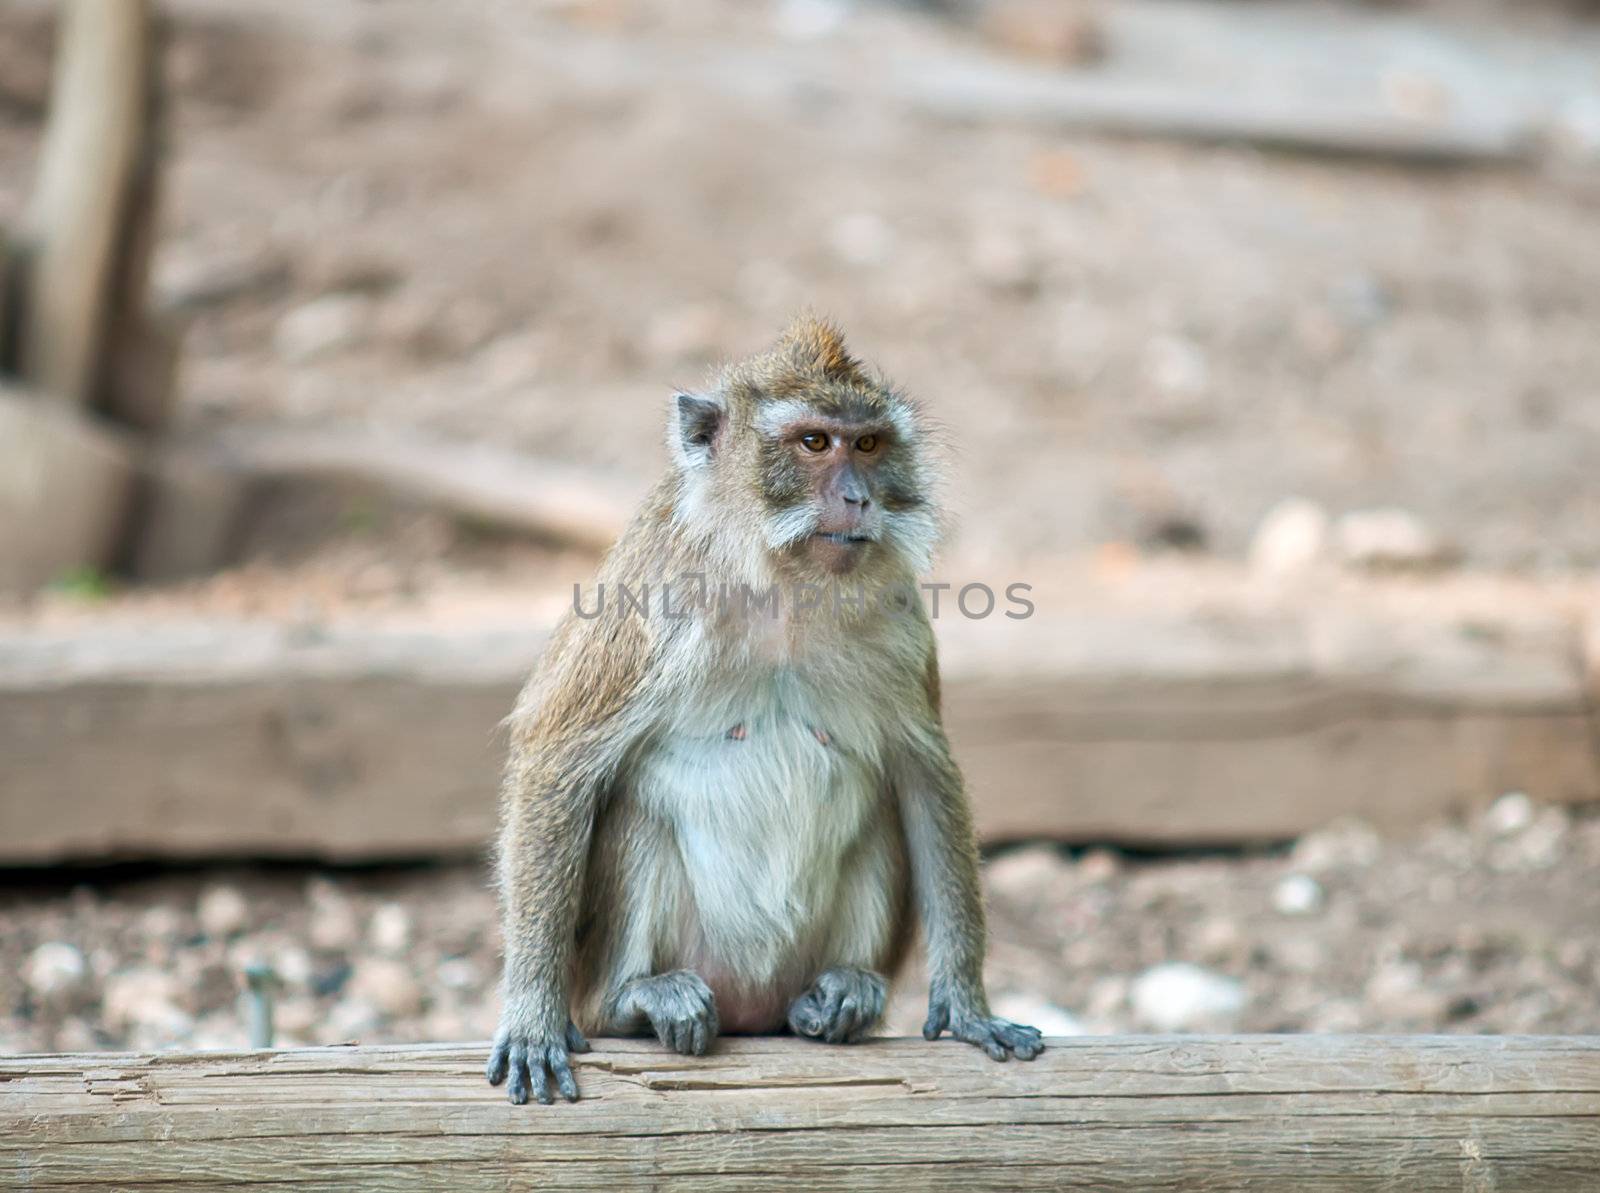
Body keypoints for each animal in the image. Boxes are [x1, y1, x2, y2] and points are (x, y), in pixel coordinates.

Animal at [480, 311, 1043, 1100]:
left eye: (867, 444)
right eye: (813, 443)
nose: (859, 498)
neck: (780, 582)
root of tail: (755, 1009)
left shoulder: (898, 624)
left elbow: (924, 774)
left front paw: (966, 1003)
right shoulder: (652, 608)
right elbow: (556, 757)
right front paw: (532, 1014)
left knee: (880, 811)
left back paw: (842, 993)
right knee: (636, 816)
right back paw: (637, 1000)